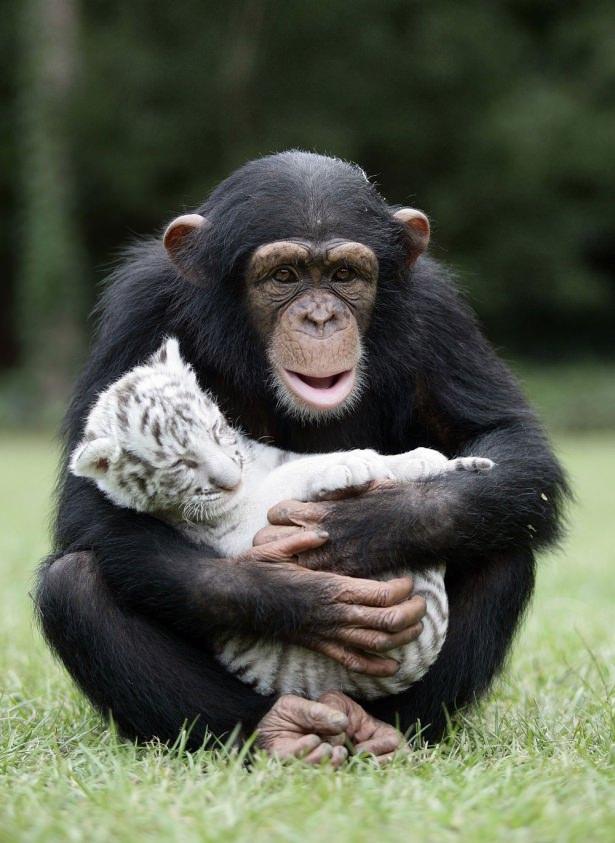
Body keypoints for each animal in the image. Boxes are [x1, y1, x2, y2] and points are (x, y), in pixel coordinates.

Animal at [36, 153, 568, 764]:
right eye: (285, 276)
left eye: (344, 276)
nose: (319, 317)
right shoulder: (139, 308)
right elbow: (87, 512)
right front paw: (298, 594)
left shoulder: (439, 311)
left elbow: (510, 442)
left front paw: (369, 524)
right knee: (73, 583)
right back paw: (280, 731)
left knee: (502, 537)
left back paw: (389, 733)